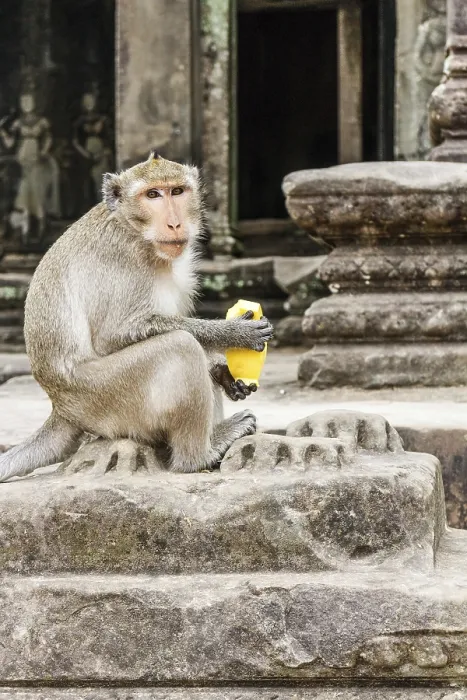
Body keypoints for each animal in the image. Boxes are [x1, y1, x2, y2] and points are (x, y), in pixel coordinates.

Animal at [0, 153, 273, 482]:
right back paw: (201, 454)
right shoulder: (125, 258)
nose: (174, 223)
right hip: (104, 396)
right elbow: (114, 335)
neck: (134, 229)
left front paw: (222, 370)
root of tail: (62, 408)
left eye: (177, 191)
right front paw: (235, 333)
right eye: (152, 194)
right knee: (181, 346)